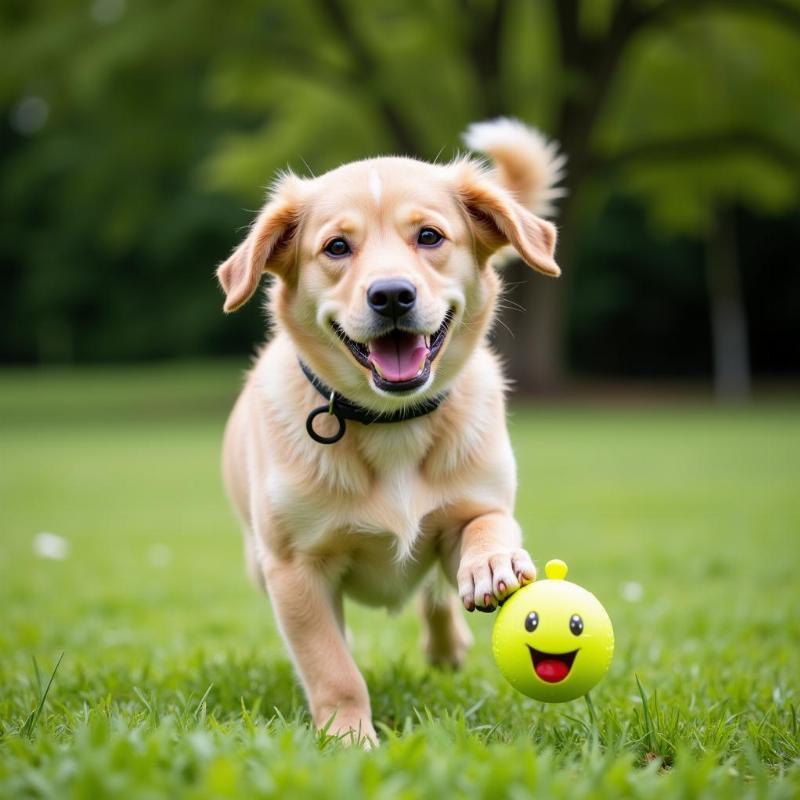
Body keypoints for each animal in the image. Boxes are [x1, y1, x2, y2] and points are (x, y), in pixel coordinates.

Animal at [217, 117, 564, 744]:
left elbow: (488, 525)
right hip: (261, 563)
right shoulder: (294, 570)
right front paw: (349, 738)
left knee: (434, 597)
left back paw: (448, 646)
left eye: (429, 236)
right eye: (336, 247)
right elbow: (331, 666)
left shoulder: (474, 506)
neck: (391, 422)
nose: (392, 295)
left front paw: (493, 563)